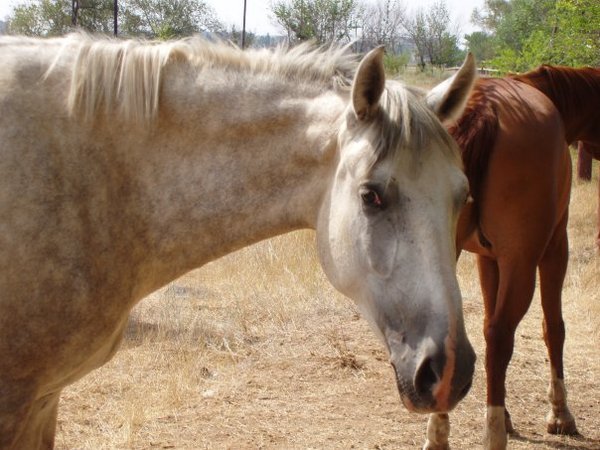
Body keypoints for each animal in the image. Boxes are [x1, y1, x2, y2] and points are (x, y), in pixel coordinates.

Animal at [421, 65, 600, 449]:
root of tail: (484, 107)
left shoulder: (488, 259)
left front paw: (506, 415)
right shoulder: (554, 250)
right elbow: (553, 327)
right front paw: (559, 414)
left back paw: (439, 434)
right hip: (524, 263)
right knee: (501, 336)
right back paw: (493, 435)